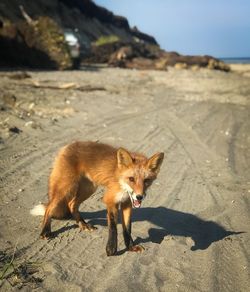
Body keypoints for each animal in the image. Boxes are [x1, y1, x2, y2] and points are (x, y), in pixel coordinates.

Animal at [30, 141, 164, 256]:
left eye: (146, 181)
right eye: (131, 179)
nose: (139, 196)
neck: (121, 183)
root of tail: (68, 145)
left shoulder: (127, 203)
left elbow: (127, 229)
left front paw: (130, 247)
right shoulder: (110, 200)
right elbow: (113, 227)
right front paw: (111, 249)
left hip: (88, 189)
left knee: (72, 204)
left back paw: (83, 224)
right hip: (65, 188)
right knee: (49, 208)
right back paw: (45, 231)